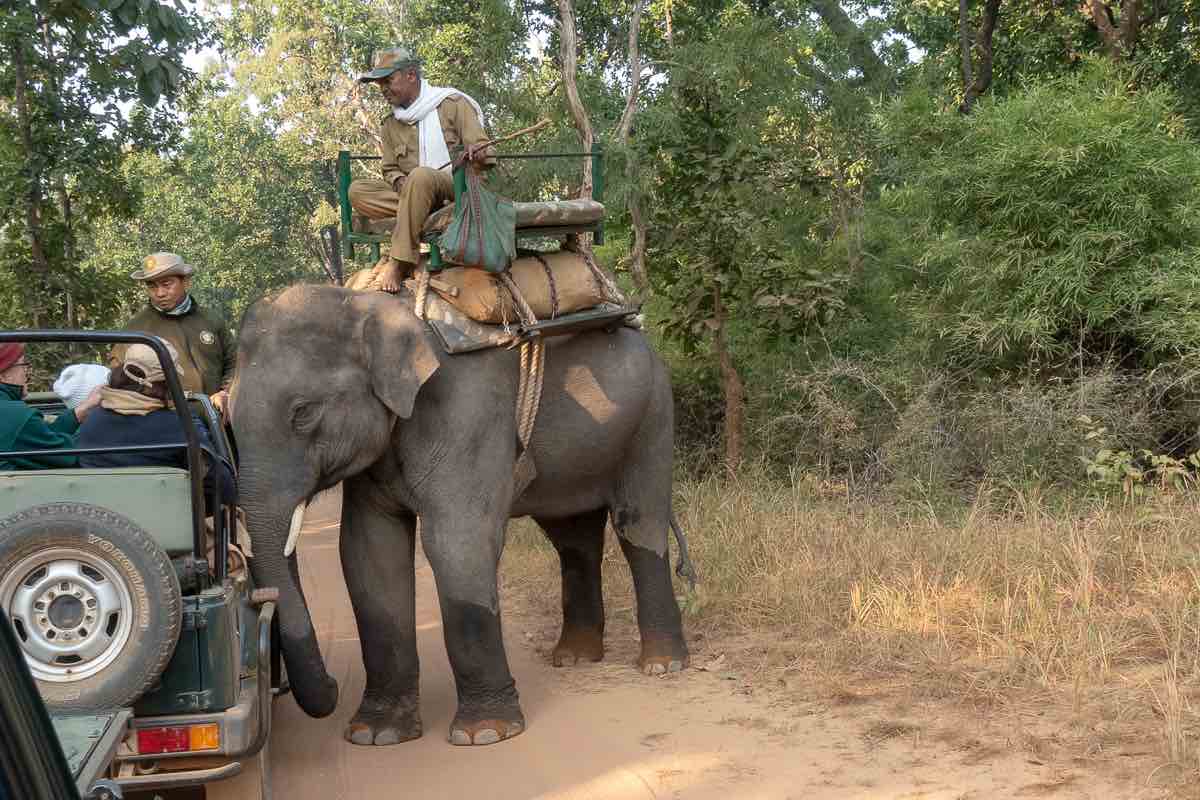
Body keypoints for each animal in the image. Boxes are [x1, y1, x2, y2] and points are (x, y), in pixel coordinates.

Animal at [229, 287, 691, 753]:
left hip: (651, 418)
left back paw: (662, 664)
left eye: (302, 412)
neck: (372, 303)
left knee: (639, 526)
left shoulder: (468, 413)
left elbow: (456, 542)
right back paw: (575, 657)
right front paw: (376, 734)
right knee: (573, 538)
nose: (333, 686)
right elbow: (369, 550)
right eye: (227, 421)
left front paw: (485, 733)